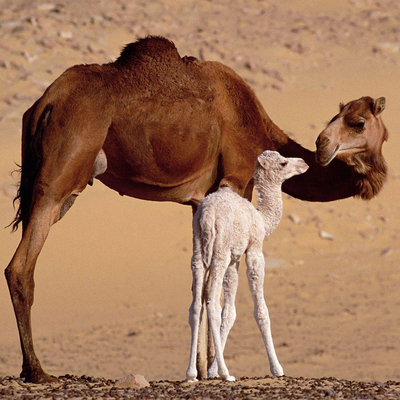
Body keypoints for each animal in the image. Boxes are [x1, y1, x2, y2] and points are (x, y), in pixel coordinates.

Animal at [186, 149, 308, 382]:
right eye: (283, 163)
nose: (304, 163)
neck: (261, 218)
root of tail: (207, 215)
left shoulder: (234, 260)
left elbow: (230, 312)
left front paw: (212, 371)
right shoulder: (254, 251)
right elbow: (261, 310)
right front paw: (277, 368)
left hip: (198, 250)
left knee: (196, 305)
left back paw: (191, 373)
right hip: (219, 251)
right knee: (212, 303)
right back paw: (226, 374)